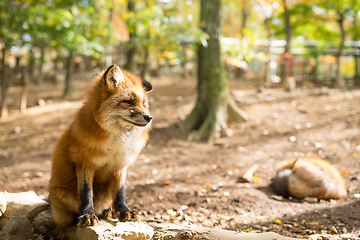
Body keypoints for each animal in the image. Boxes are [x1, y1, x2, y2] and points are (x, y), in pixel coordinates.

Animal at [48, 64, 153, 228]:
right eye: (128, 102)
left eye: (143, 104)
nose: (149, 117)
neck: (115, 145)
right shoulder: (85, 163)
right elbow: (86, 193)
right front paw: (87, 214)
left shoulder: (120, 166)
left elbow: (120, 193)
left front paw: (125, 212)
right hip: (63, 195)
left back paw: (107, 211)